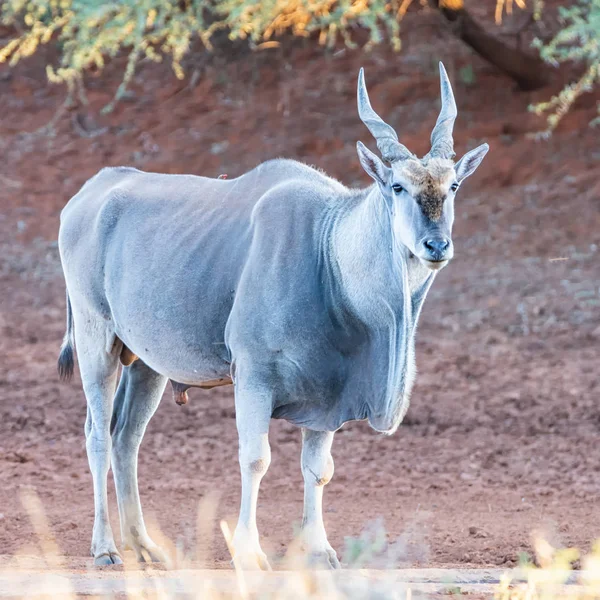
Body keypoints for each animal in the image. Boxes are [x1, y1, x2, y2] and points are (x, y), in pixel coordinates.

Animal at [56, 63, 488, 568]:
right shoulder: (254, 376)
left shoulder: (328, 397)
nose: (436, 245)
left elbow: (318, 468)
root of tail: (87, 195)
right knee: (98, 435)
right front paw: (249, 551)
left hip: (146, 364)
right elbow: (255, 459)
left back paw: (144, 546)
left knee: (127, 437)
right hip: (97, 342)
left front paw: (320, 550)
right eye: (398, 187)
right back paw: (106, 548)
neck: (328, 247)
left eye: (453, 186)